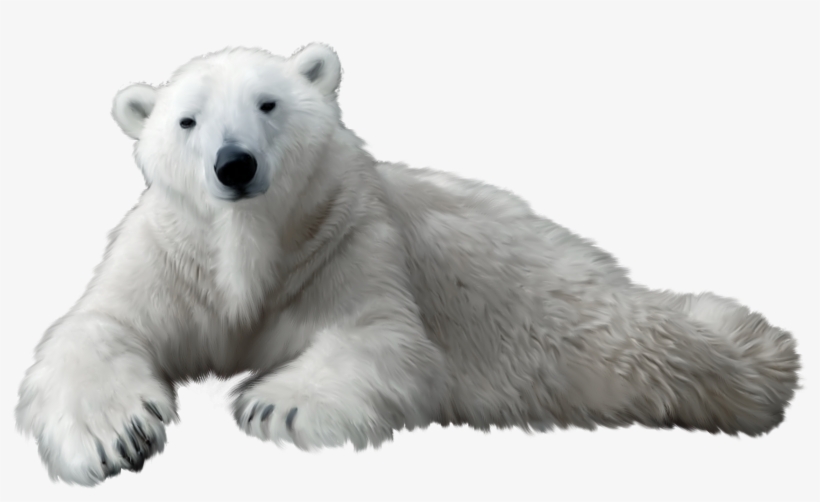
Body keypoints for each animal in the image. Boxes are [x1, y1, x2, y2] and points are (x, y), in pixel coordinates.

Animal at [15, 43, 800, 486]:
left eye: (268, 104)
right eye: (187, 120)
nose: (234, 165)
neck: (251, 242)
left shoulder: (347, 238)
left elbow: (380, 337)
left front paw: (274, 403)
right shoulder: (175, 253)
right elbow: (100, 326)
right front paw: (115, 436)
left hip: (558, 309)